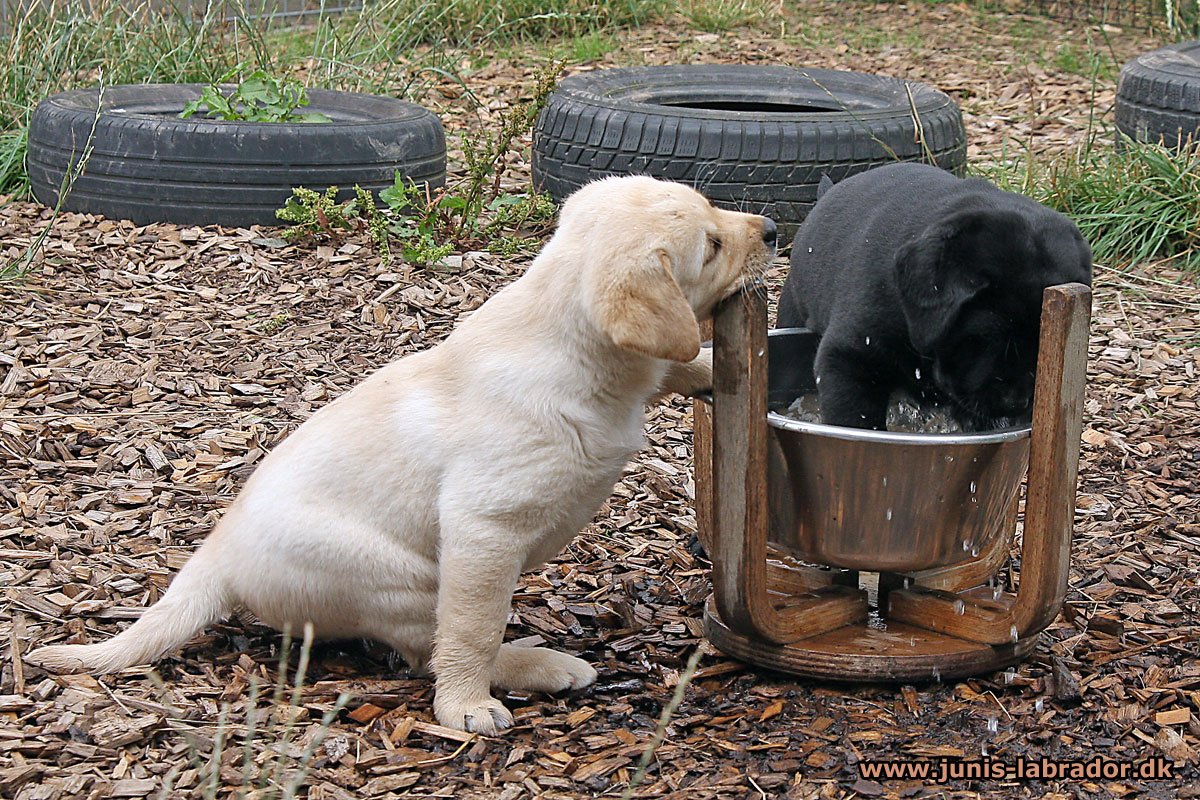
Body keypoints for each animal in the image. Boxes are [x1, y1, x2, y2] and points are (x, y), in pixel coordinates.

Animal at [28, 175, 782, 734]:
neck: (568, 341)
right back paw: (532, 666)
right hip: (398, 578)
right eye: (713, 244)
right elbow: (471, 632)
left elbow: (672, 362)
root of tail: (215, 558)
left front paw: (706, 366)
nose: (772, 230)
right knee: (432, 647)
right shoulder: (484, 529)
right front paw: (466, 707)